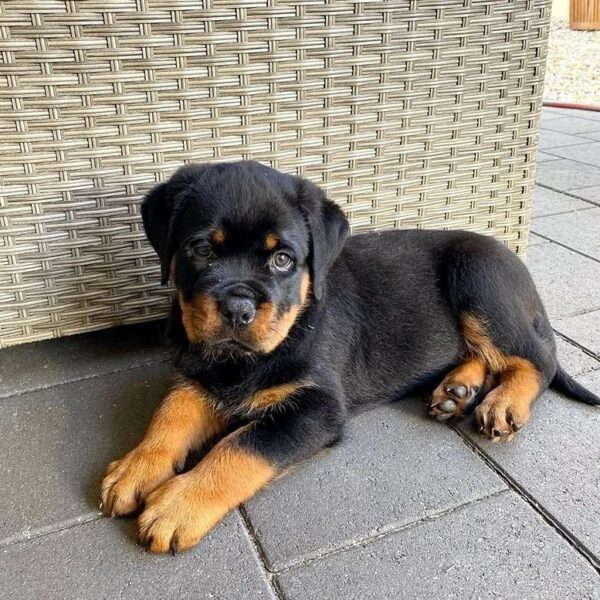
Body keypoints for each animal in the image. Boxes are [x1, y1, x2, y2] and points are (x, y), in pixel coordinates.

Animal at [101, 158, 596, 552]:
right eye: (202, 249)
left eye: (282, 259)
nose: (238, 309)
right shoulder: (200, 370)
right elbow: (171, 412)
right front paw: (136, 467)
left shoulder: (317, 407)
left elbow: (240, 446)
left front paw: (178, 505)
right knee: (485, 354)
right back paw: (458, 390)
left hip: (477, 277)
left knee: (536, 360)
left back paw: (503, 402)